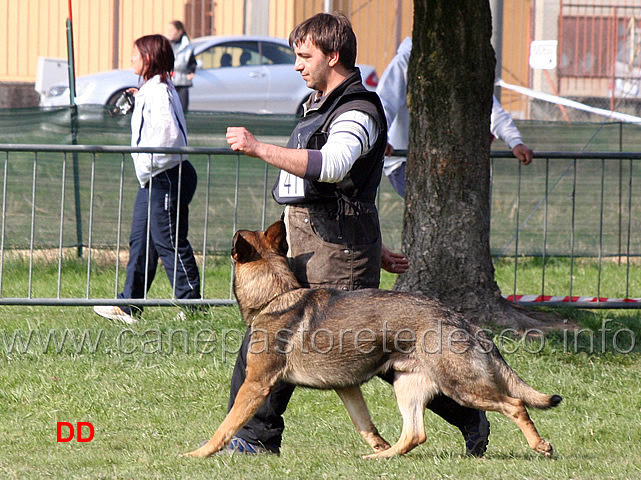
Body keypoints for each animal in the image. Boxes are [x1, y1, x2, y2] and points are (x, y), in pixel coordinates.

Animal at [185, 219, 560, 460]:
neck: (275, 295)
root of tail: (458, 318)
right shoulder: (347, 387)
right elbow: (364, 423)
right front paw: (377, 445)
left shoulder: (257, 383)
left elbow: (226, 425)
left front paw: (200, 453)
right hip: (408, 387)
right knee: (415, 434)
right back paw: (383, 458)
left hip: (459, 385)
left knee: (514, 404)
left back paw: (540, 445)